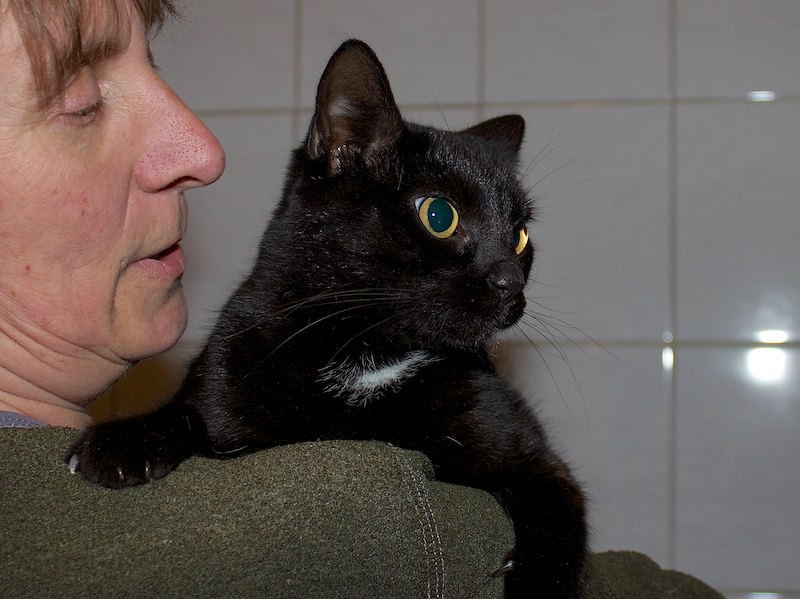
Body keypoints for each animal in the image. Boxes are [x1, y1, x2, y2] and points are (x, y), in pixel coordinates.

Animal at [67, 40, 588, 598]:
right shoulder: (226, 386)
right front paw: (128, 439)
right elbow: (190, 413)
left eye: (519, 236)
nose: (511, 283)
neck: (366, 355)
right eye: (439, 215)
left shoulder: (533, 457)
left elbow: (555, 523)